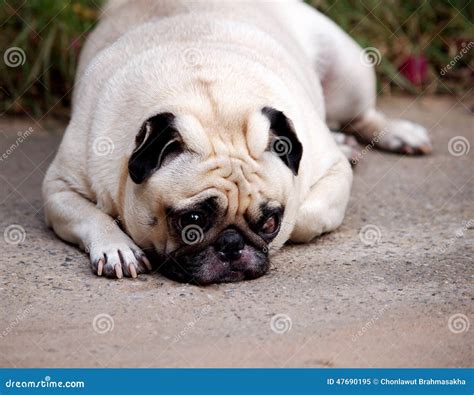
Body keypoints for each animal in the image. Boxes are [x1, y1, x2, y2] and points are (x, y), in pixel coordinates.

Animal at [42, 0, 432, 284]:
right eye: (192, 222)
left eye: (270, 224)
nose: (231, 244)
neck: (209, 101)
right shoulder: (59, 187)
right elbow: (91, 216)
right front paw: (116, 247)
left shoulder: (332, 172)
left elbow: (304, 217)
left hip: (348, 72)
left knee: (365, 115)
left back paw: (398, 133)